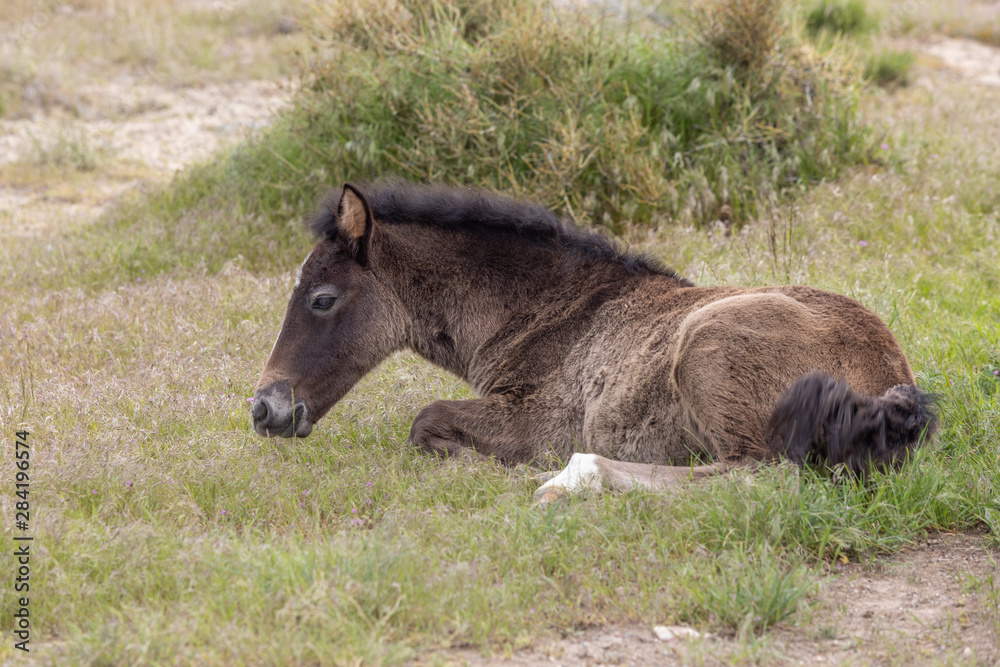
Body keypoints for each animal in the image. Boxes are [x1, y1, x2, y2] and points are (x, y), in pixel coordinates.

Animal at [252, 181, 935, 504]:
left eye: (322, 299)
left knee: (758, 476)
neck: (550, 310)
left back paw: (572, 478)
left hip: (708, 351)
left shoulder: (535, 420)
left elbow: (424, 423)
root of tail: (888, 377)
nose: (265, 408)